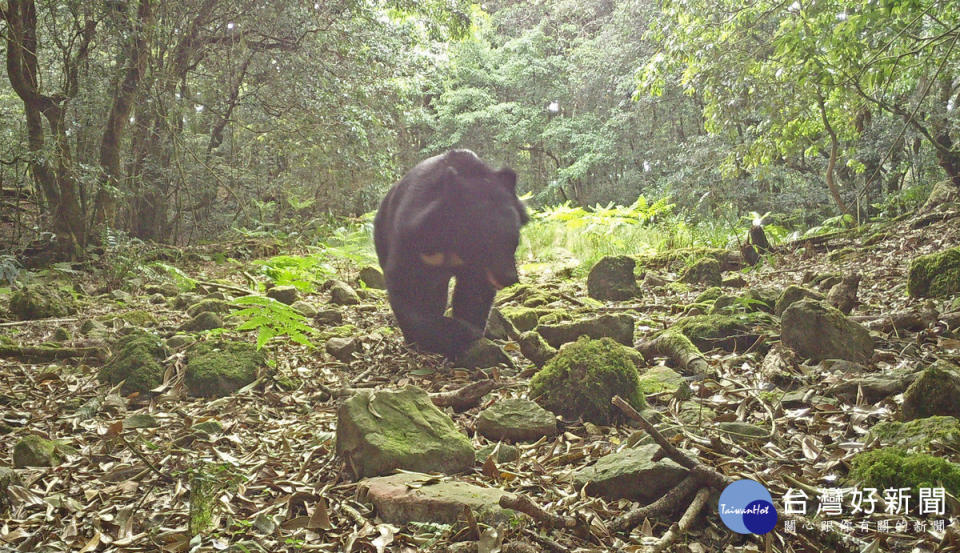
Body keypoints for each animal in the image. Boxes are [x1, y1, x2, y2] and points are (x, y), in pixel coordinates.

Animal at [376, 149, 528, 356]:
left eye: (514, 241)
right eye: (485, 243)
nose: (509, 278)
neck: (454, 247)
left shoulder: (477, 269)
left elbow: (474, 292)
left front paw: (472, 329)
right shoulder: (414, 240)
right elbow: (406, 287)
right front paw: (458, 333)